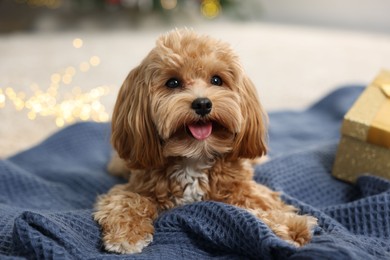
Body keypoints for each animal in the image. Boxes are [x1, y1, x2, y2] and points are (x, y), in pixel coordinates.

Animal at [94, 29, 316, 254]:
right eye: (173, 83)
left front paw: (291, 227)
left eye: (217, 80)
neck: (195, 156)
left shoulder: (244, 189)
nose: (202, 104)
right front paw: (127, 235)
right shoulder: (134, 187)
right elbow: (127, 201)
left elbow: (260, 206)